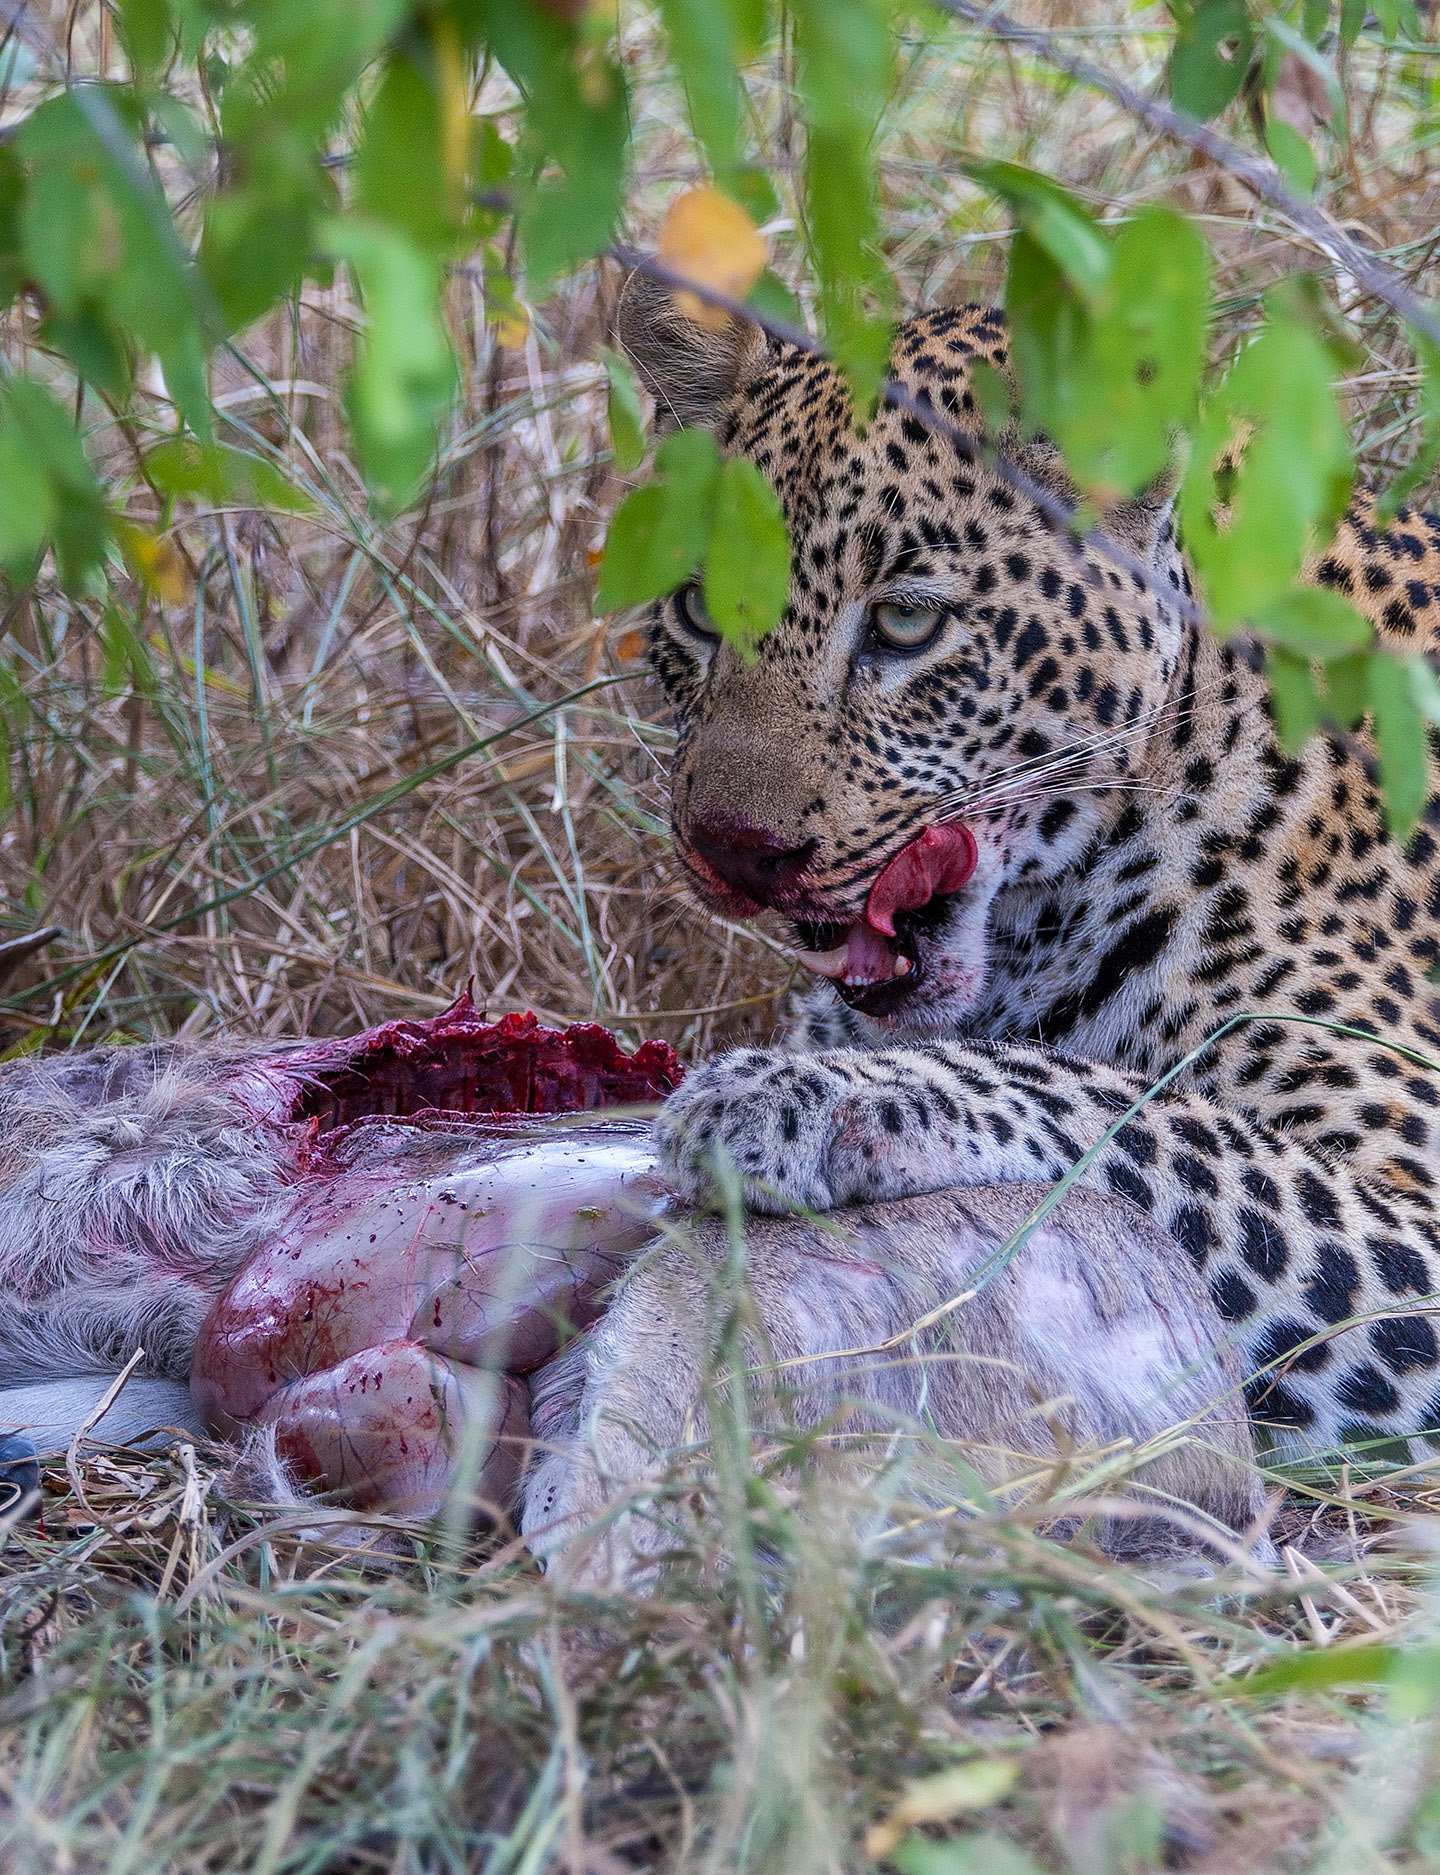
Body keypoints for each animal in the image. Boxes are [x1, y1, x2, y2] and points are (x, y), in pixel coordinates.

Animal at [617, 272, 1440, 1467]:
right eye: (693, 606)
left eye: (906, 622)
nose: (731, 850)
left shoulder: (1413, 1203)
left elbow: (1136, 1107)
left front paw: (798, 1098)